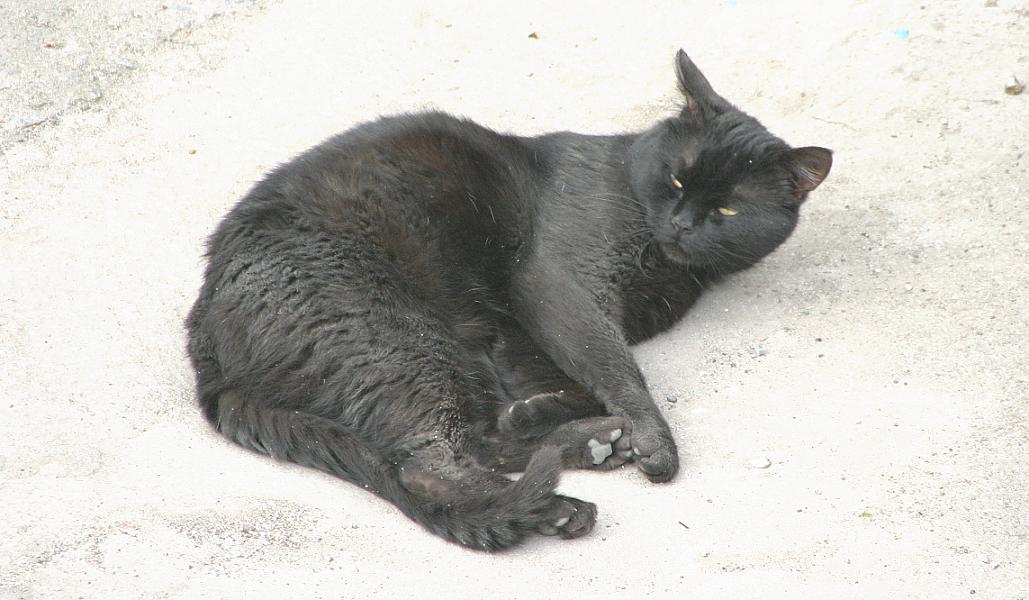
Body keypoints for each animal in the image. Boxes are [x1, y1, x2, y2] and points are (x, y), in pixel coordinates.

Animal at [183, 49, 827, 551]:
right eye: (677, 179)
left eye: (728, 209)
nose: (683, 223)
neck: (667, 270)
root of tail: (205, 335)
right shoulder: (556, 282)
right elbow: (613, 365)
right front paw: (653, 440)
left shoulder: (521, 321)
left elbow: (561, 371)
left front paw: (550, 411)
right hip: (400, 340)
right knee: (430, 466)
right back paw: (562, 504)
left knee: (475, 441)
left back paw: (590, 445)